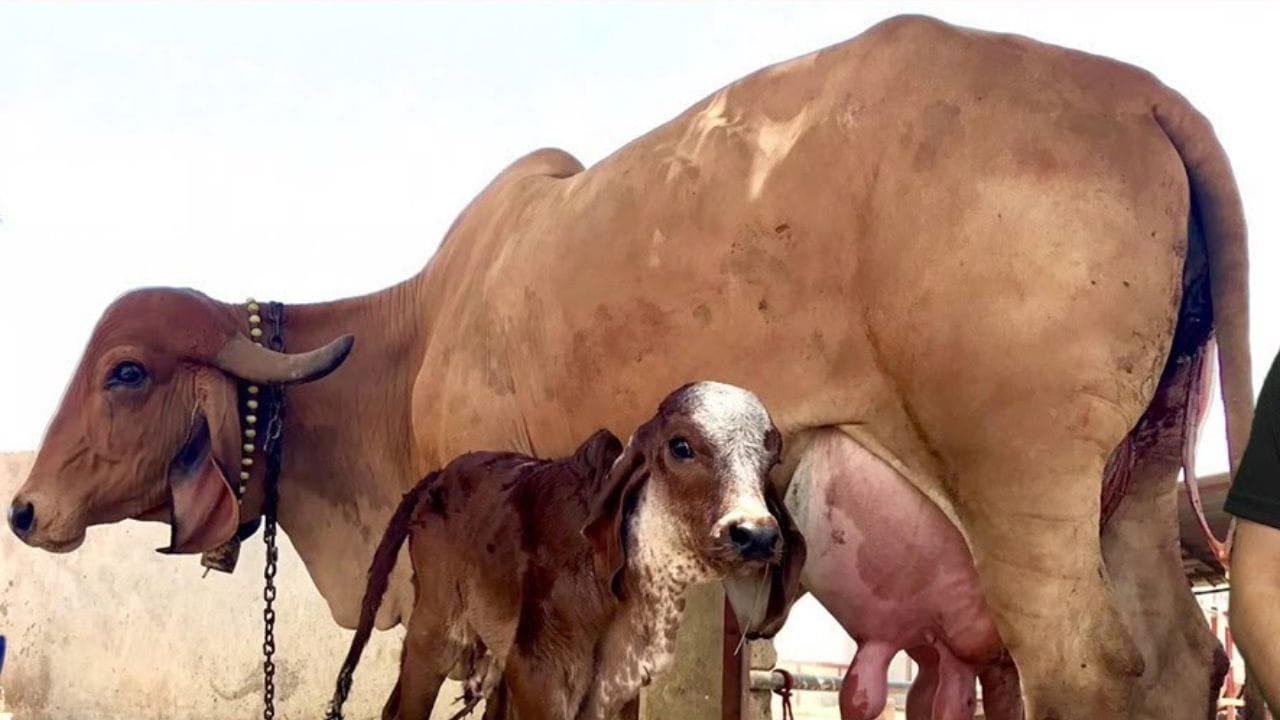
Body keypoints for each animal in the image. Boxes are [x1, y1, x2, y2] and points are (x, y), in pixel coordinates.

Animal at [322, 379, 798, 712]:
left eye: (771, 458)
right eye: (681, 446)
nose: (756, 535)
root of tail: (439, 476)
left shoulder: (617, 692)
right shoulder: (540, 673)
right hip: (435, 633)